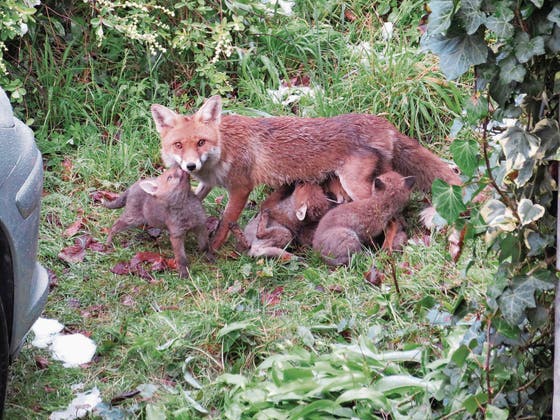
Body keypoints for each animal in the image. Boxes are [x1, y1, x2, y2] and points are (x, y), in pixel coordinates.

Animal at [150, 97, 460, 251]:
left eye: (201, 142)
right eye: (178, 145)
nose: (190, 166)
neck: (222, 151)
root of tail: (382, 122)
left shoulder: (240, 188)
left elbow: (226, 223)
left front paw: (212, 252)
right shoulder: (206, 184)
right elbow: (195, 199)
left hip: (358, 187)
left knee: (393, 215)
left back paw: (384, 250)